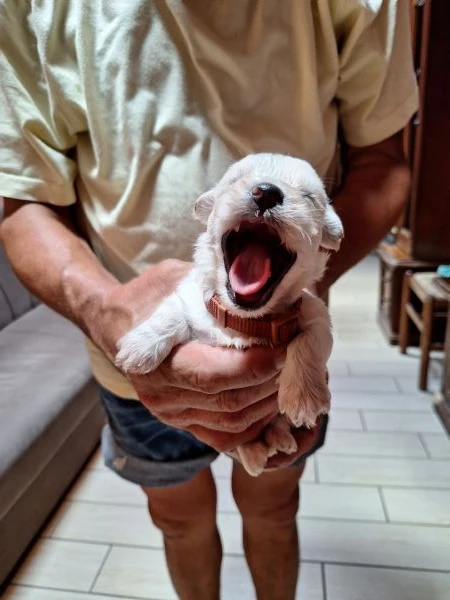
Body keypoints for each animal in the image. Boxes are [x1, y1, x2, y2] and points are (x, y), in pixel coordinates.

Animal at [114, 155, 342, 478]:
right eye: (234, 181)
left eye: (309, 197)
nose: (266, 192)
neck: (244, 319)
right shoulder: (191, 296)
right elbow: (172, 312)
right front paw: (140, 347)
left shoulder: (315, 316)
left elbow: (308, 342)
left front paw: (304, 398)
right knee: (241, 439)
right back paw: (257, 452)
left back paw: (279, 439)